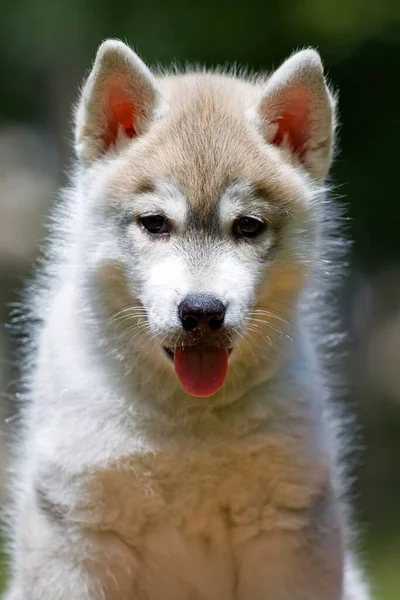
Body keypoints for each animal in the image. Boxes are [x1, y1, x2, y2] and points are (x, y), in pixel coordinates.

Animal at [3, 39, 372, 596]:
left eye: (249, 226)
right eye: (155, 223)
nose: (201, 311)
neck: (186, 419)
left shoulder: (286, 524)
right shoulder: (77, 521)